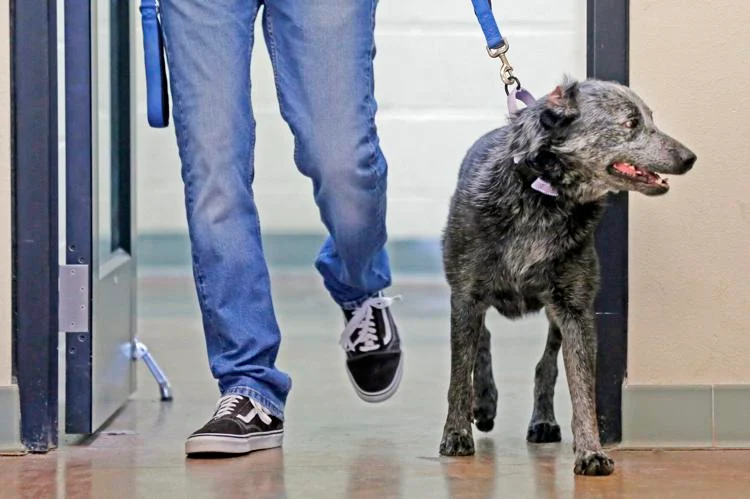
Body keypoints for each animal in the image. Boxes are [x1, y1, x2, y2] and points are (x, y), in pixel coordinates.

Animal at [440, 79, 700, 476]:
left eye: (651, 118)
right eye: (631, 123)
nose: (689, 158)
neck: (543, 195)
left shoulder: (575, 310)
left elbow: (581, 388)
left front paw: (590, 450)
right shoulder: (465, 295)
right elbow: (458, 373)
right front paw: (456, 433)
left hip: (554, 314)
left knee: (544, 366)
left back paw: (542, 420)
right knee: (481, 340)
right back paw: (483, 403)